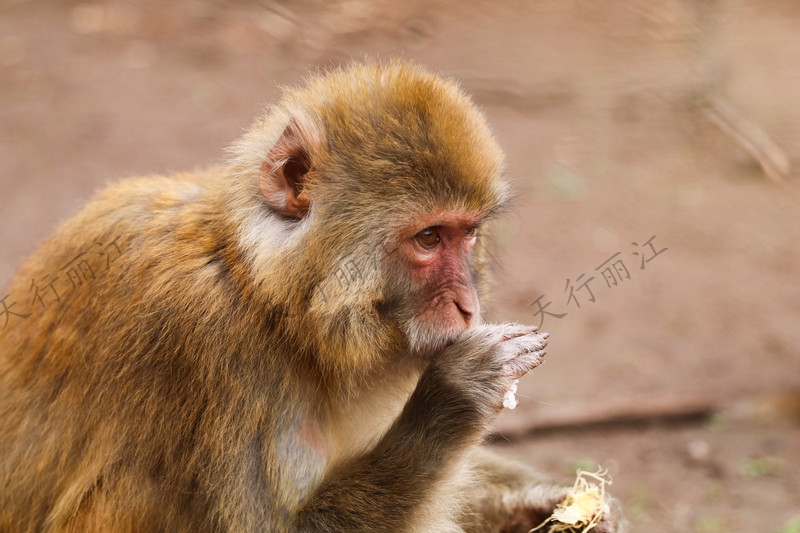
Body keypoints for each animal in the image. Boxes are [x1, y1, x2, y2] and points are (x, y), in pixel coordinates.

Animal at [0, 60, 624, 528]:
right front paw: (455, 400)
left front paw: (552, 501)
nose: (467, 306)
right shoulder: (208, 338)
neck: (266, 297)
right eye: (428, 238)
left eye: (468, 233)